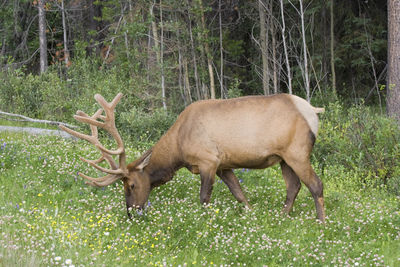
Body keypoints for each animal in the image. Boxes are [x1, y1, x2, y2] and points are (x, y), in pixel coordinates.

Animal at [60, 93, 328, 223]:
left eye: (132, 185)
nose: (131, 213)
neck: (178, 149)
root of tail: (314, 111)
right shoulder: (224, 165)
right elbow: (240, 194)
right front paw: (252, 216)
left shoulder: (208, 161)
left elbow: (204, 198)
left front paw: (204, 223)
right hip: (283, 158)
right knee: (293, 187)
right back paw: (282, 218)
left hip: (297, 152)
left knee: (316, 185)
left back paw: (321, 223)